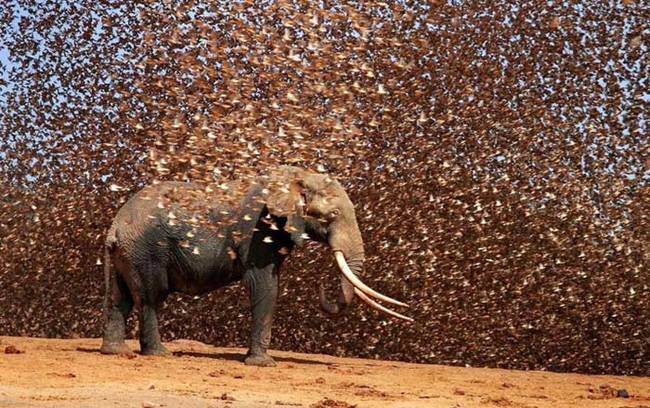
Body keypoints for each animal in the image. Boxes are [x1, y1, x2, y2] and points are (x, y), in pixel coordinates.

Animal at [98, 166, 408, 366]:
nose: (323, 285)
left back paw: (114, 352)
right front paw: (263, 364)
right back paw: (160, 354)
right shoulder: (258, 231)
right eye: (332, 215)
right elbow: (265, 285)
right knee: (151, 297)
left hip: (127, 254)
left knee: (120, 298)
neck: (294, 178)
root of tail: (116, 225)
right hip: (146, 251)